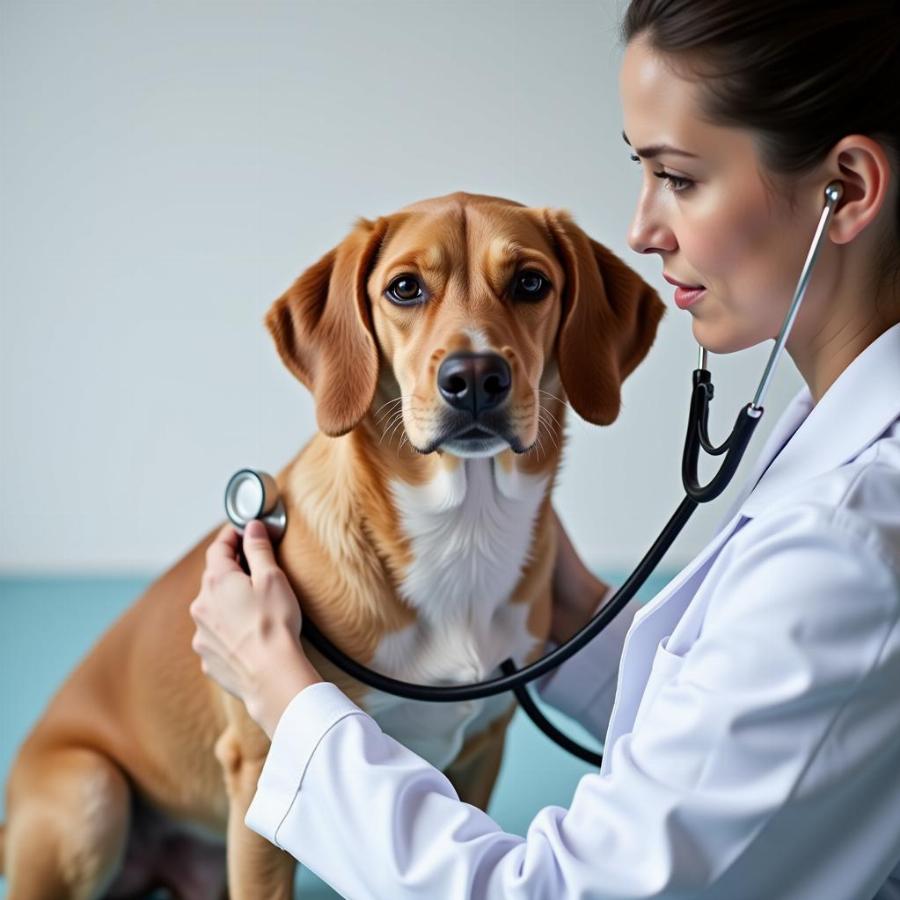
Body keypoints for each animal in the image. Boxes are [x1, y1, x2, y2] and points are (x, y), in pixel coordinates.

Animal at [0, 192, 660, 900]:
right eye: (405, 288)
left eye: (531, 283)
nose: (476, 375)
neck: (463, 536)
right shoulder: (263, 762)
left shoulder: (482, 752)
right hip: (91, 797)